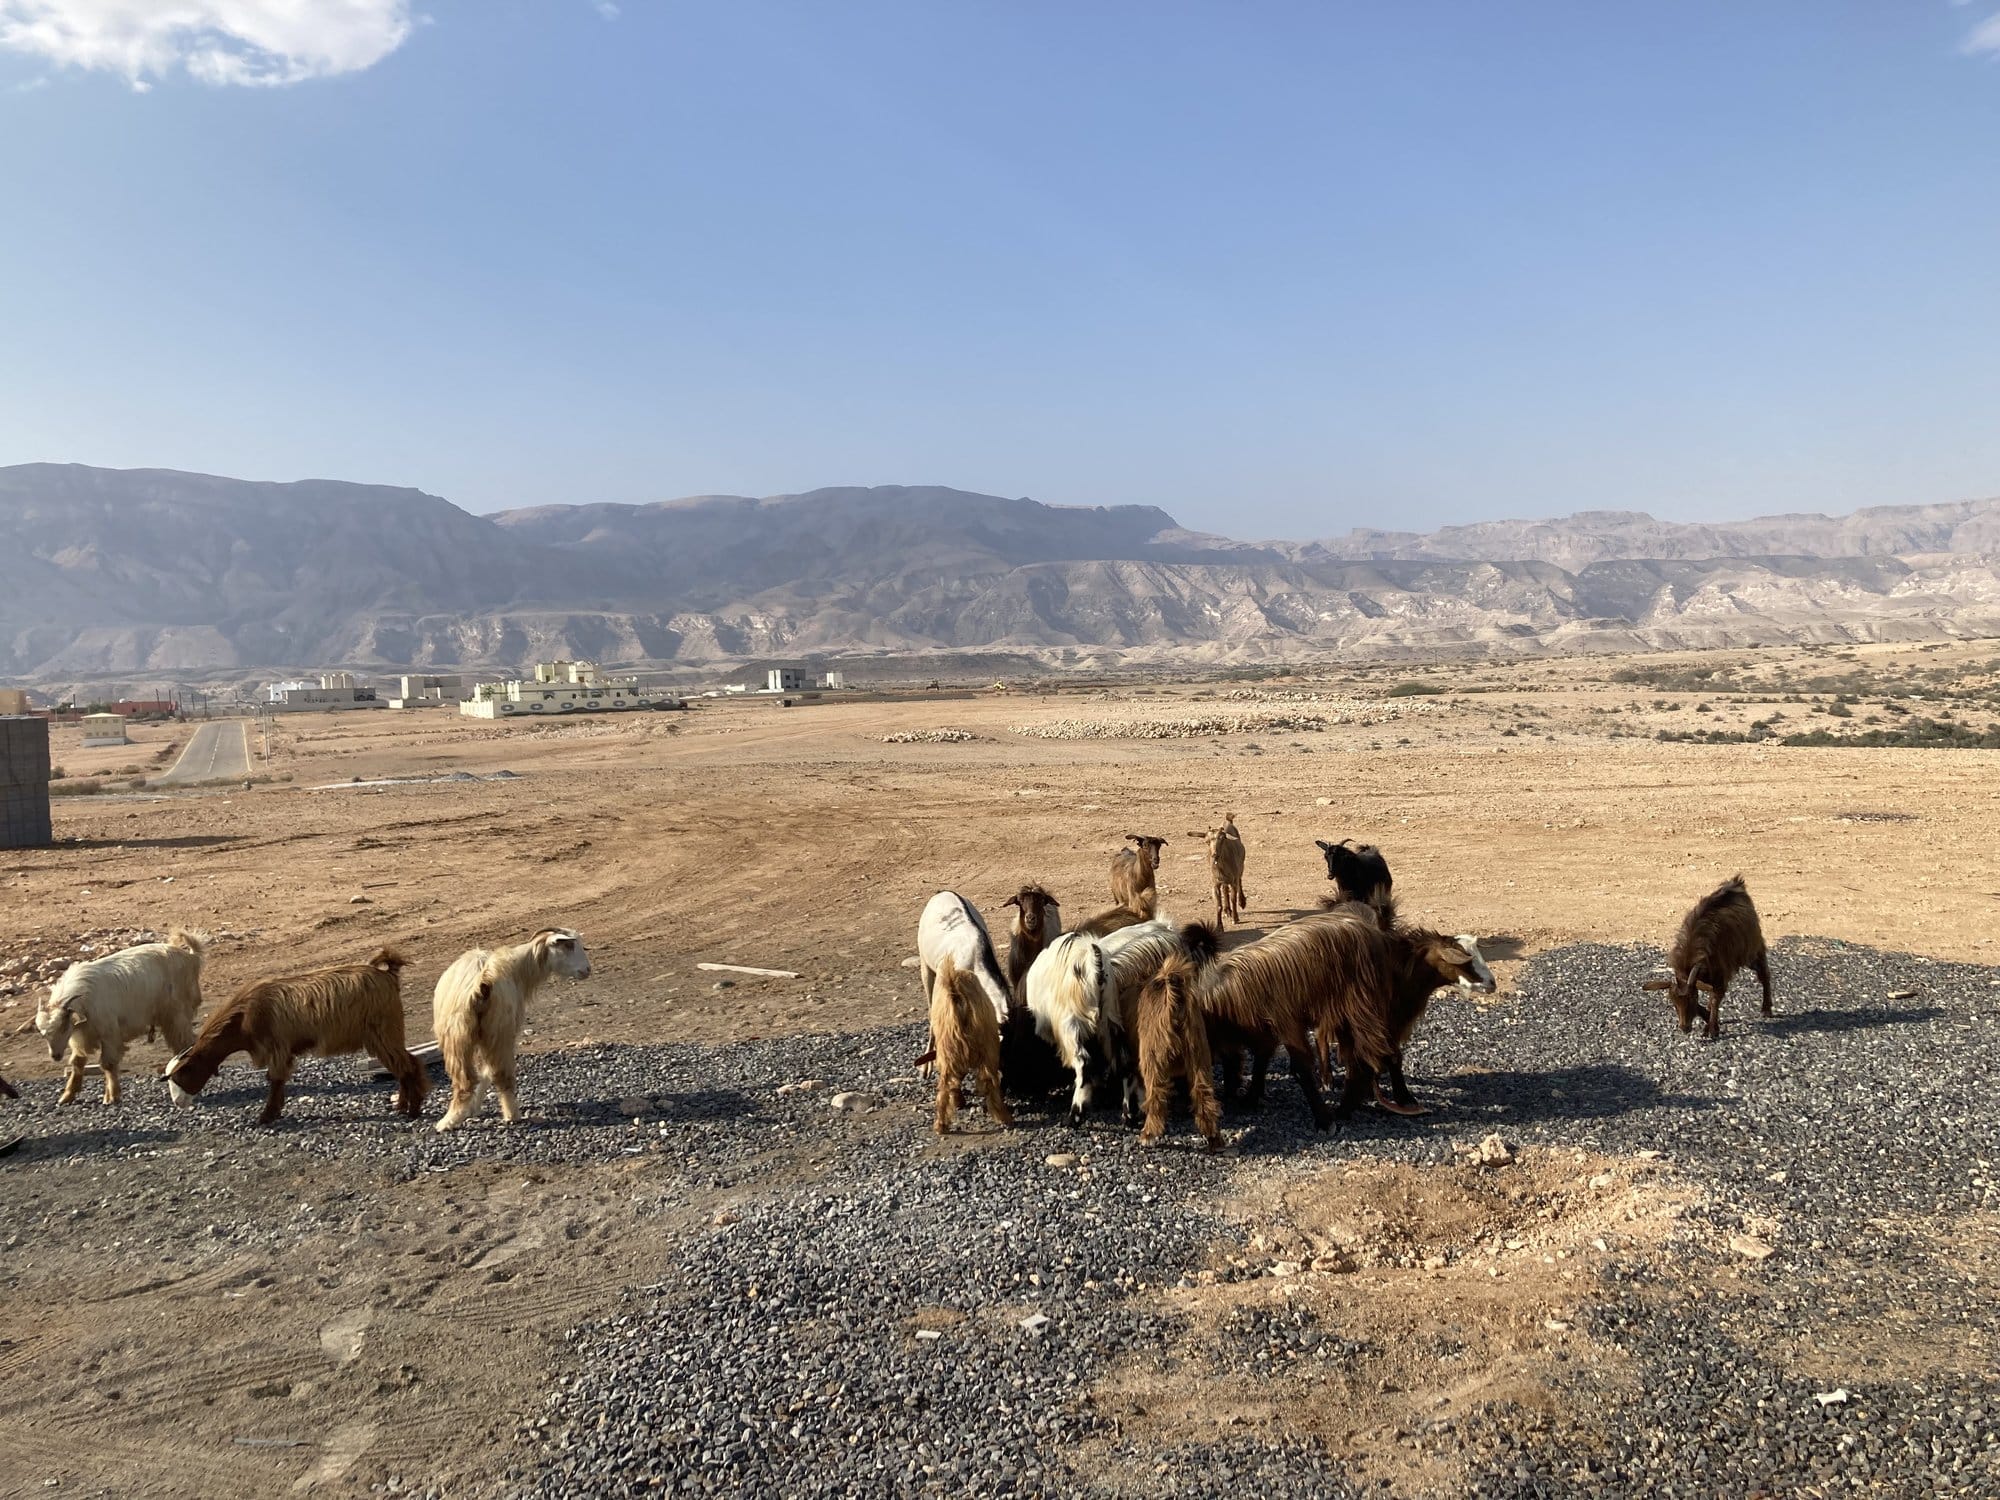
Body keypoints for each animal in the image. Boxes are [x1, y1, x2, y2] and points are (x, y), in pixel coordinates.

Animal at [36, 929, 207, 1106]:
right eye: (42, 1033)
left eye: (64, 1026)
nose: (55, 1056)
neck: (84, 996)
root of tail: (191, 957)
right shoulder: (82, 1036)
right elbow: (77, 1063)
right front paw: (68, 1095)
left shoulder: (109, 1033)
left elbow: (108, 1064)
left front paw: (112, 1096)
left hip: (177, 1014)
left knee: (185, 1043)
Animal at [165, 947, 425, 1125]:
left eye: (180, 1075)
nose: (178, 1103)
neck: (245, 1016)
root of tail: (388, 975)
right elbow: (277, 1080)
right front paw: (273, 1112)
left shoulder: (276, 1047)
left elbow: (275, 1079)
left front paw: (266, 1116)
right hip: (384, 1036)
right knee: (402, 1065)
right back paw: (402, 1107)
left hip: (384, 1032)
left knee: (409, 1065)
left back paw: (413, 1110)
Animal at [433, 928, 591, 1131]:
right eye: (569, 945)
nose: (587, 970)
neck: (520, 969)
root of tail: (482, 982)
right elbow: (487, 1072)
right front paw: (474, 1107)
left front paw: (472, 1108)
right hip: (500, 1030)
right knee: (501, 1074)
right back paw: (512, 1115)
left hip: (457, 1035)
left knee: (465, 1079)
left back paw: (450, 1120)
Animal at [1642, 875, 1771, 1039]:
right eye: (1673, 1002)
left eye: (1692, 999)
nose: (1684, 1028)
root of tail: (1737, 884)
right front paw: (1710, 1021)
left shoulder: (1720, 975)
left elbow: (1715, 999)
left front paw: (1711, 1029)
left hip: (1753, 950)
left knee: (1764, 974)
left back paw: (1766, 1010)